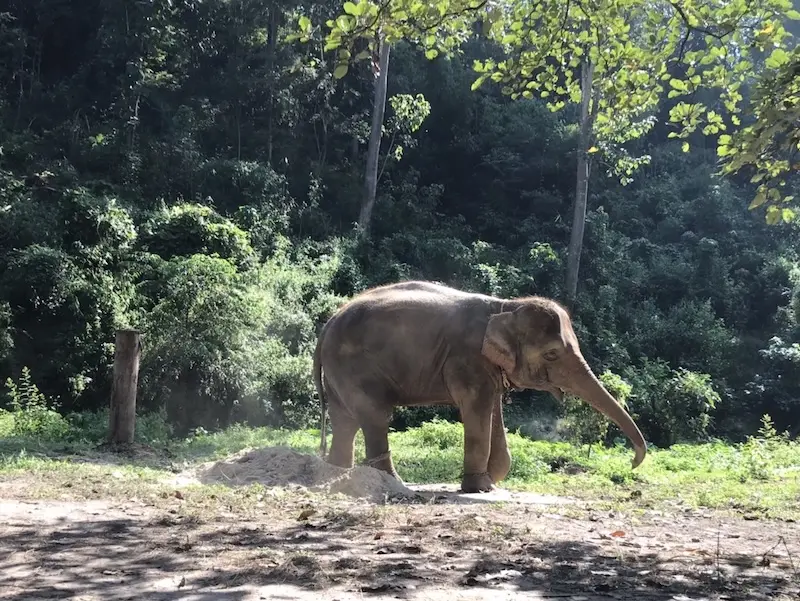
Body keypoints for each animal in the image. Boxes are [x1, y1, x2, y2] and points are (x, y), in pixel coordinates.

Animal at [310, 282, 648, 492]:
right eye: (552, 354)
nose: (633, 464)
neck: (506, 306)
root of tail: (327, 323)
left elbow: (492, 410)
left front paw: (491, 481)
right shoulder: (467, 359)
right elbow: (477, 408)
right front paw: (480, 487)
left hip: (339, 371)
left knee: (346, 420)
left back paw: (336, 476)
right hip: (354, 365)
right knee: (375, 416)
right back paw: (390, 482)